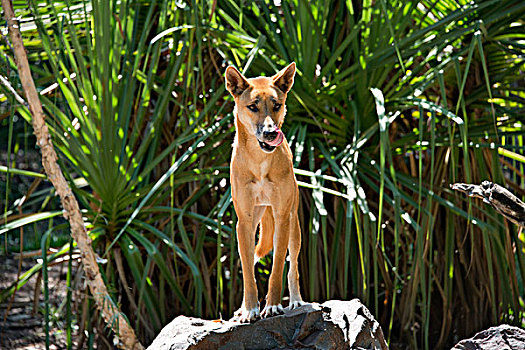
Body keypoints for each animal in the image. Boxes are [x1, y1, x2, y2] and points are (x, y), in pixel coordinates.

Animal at [224, 63, 302, 322]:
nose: (270, 133)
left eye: (276, 105)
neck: (259, 162)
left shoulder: (282, 218)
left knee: (293, 267)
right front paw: (249, 309)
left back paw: (296, 301)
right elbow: (248, 272)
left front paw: (273, 306)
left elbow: (277, 269)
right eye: (252, 106)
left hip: (294, 227)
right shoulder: (244, 222)